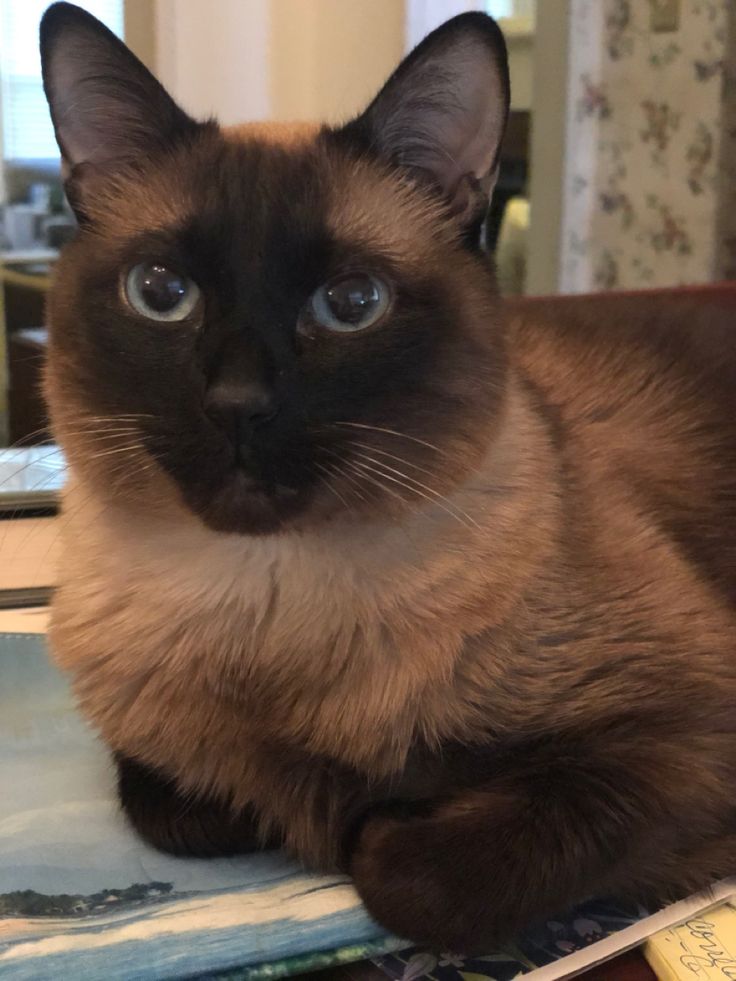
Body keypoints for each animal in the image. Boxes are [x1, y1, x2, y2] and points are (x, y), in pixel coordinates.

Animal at [38, 0, 736, 948]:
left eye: (352, 304)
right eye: (160, 292)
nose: (238, 404)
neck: (266, 613)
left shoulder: (683, 729)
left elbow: (409, 874)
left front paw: (368, 819)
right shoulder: (163, 756)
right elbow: (182, 804)